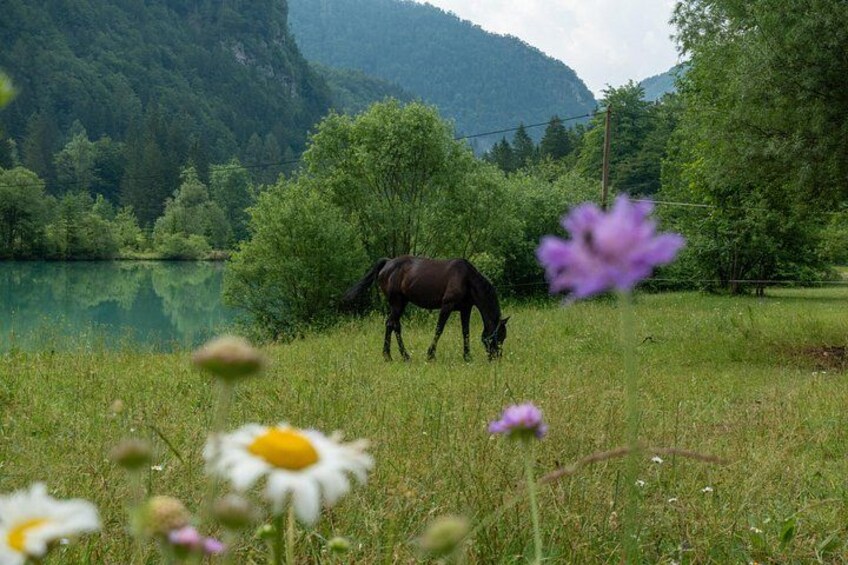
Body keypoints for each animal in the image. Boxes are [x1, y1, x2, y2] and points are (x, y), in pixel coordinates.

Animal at [343, 256, 509, 361]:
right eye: (499, 336)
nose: (496, 357)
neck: (466, 279)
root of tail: (388, 263)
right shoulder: (447, 306)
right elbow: (439, 329)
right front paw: (430, 355)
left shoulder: (465, 309)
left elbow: (465, 332)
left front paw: (467, 356)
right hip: (397, 303)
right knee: (392, 324)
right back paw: (394, 356)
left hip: (401, 303)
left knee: (393, 325)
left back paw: (396, 355)